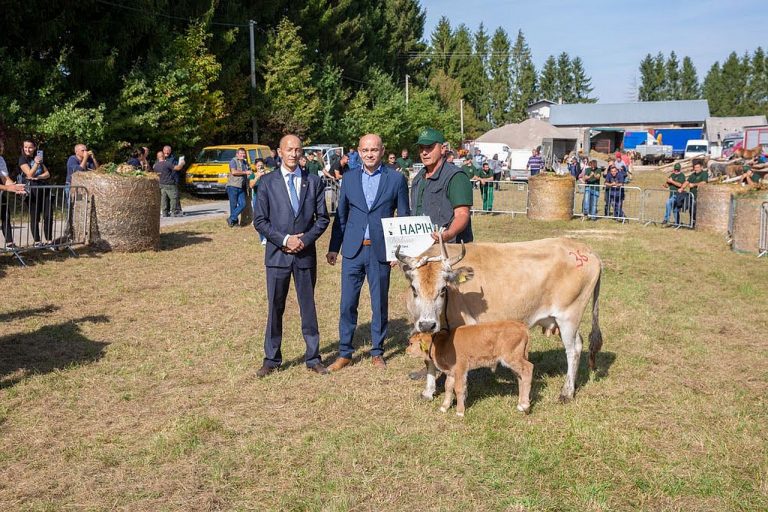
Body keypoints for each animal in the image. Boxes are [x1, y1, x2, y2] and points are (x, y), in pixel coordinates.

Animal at [400, 234, 604, 402]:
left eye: (443, 289)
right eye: (414, 289)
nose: (427, 324)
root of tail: (585, 249)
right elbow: (429, 358)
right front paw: (428, 392)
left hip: (569, 316)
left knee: (573, 349)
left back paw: (567, 392)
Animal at [408, 322, 536, 418]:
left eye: (411, 343)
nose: (406, 350)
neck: (442, 343)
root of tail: (521, 326)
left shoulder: (460, 369)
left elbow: (459, 389)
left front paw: (460, 412)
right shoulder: (451, 372)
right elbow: (448, 387)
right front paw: (444, 407)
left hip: (512, 357)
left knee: (528, 368)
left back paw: (525, 405)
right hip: (517, 359)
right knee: (520, 377)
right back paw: (521, 405)